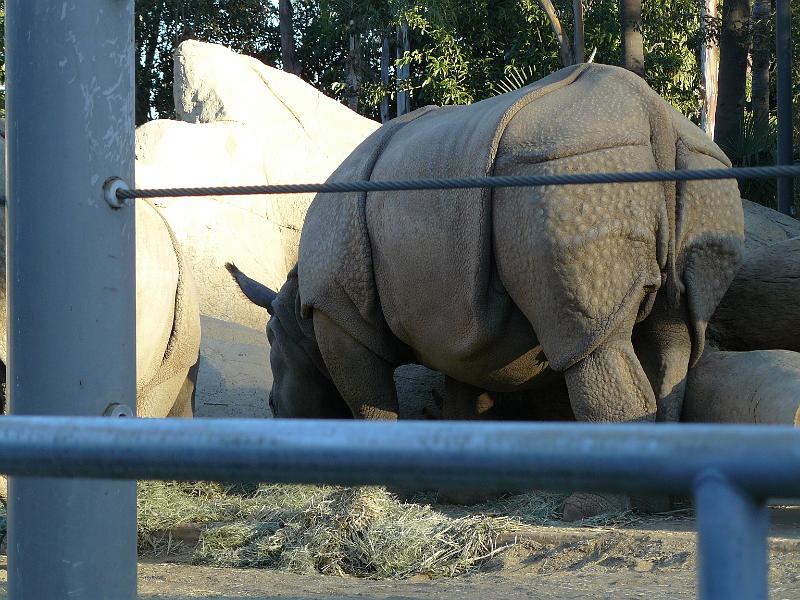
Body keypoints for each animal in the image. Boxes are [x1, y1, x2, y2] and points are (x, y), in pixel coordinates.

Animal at [229, 63, 744, 520]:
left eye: (271, 343)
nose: (273, 408)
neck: (297, 307)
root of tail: (650, 111)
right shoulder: (461, 322)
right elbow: (466, 397)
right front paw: (466, 494)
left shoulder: (340, 312)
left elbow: (368, 400)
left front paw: (380, 493)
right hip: (701, 177)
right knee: (673, 341)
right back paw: (654, 503)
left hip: (568, 174)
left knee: (593, 341)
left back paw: (585, 512)